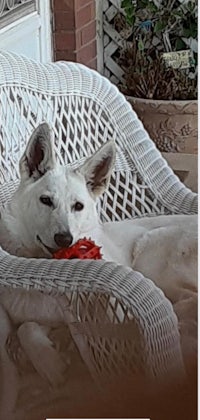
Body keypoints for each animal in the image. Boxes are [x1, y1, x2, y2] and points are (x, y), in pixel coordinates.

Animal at [0, 123, 197, 388]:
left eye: (78, 206)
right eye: (46, 201)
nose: (65, 239)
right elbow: (26, 327)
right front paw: (50, 362)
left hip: (151, 250)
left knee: (189, 299)